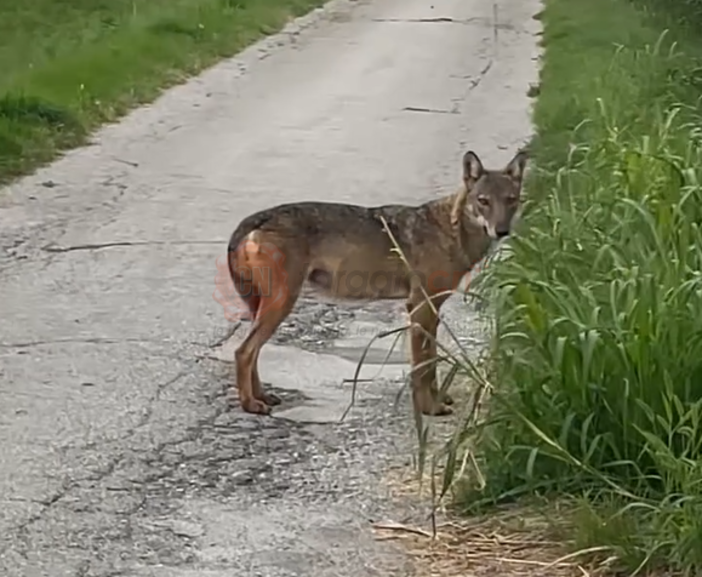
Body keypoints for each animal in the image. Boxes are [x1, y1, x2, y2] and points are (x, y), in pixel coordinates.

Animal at [226, 148, 528, 416]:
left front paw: (439, 401)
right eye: (484, 201)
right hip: (281, 304)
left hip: (263, 306)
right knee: (243, 351)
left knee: (252, 352)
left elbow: (430, 363)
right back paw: (251, 405)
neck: (451, 232)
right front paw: (430, 410)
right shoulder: (420, 307)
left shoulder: (431, 311)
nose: (502, 231)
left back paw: (262, 396)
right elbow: (422, 368)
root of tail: (254, 220)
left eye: (511, 199)